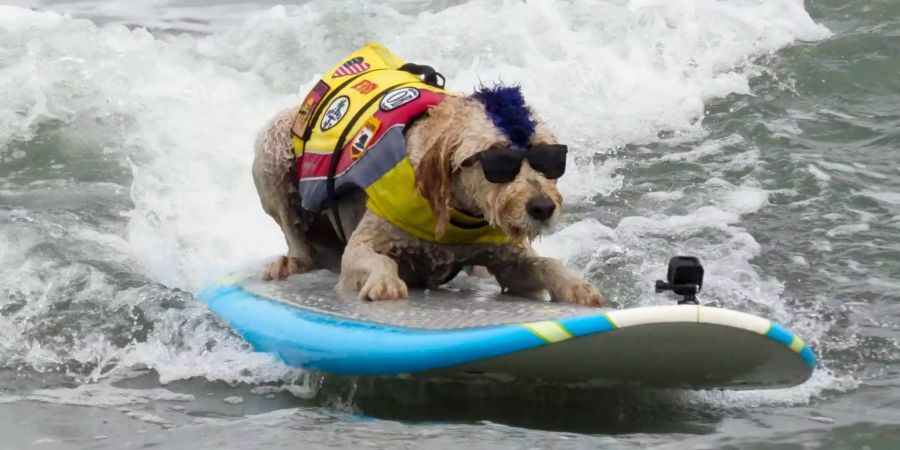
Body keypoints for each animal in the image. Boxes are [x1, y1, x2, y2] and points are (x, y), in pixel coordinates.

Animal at [251, 43, 604, 306]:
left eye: (548, 158)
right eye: (498, 159)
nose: (543, 208)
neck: (457, 213)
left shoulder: (509, 258)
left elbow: (542, 264)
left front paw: (576, 285)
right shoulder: (363, 244)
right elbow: (375, 259)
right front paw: (385, 282)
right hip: (274, 144)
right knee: (296, 237)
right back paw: (292, 262)